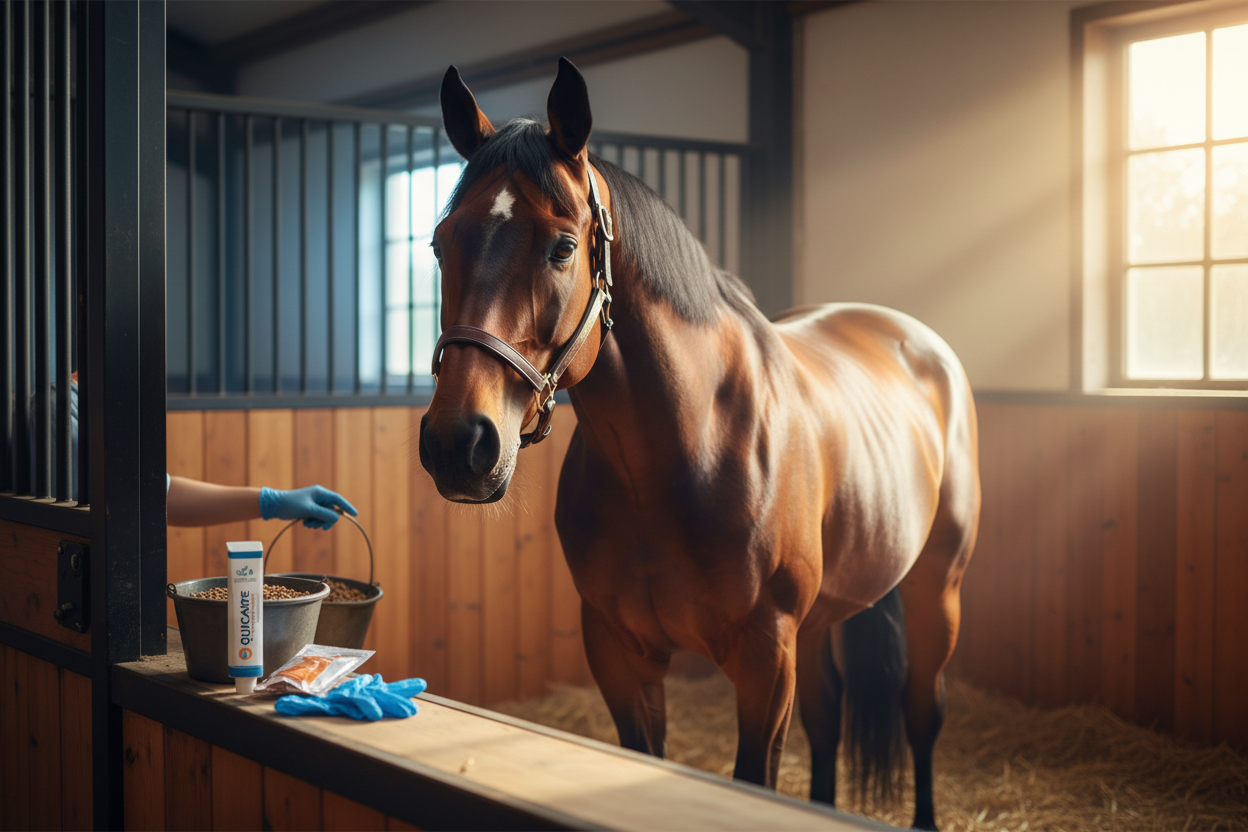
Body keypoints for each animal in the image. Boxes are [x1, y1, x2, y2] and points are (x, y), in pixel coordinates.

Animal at [419, 58, 980, 831]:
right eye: (442, 242)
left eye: (563, 247)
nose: (457, 443)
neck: (677, 456)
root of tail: (915, 338)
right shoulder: (621, 654)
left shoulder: (765, 659)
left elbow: (755, 779)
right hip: (822, 620)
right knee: (829, 718)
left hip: (936, 591)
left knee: (922, 714)